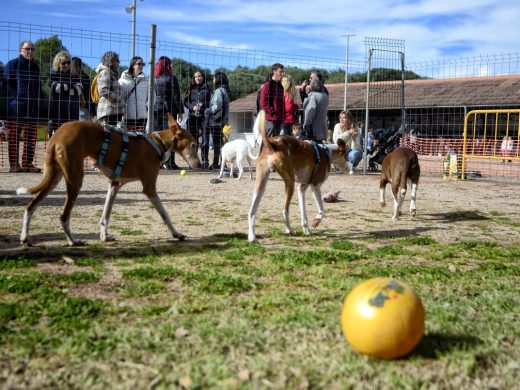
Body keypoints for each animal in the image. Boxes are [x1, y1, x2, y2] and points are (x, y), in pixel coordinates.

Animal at [16, 113, 201, 247]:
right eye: (193, 145)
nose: (200, 165)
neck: (158, 142)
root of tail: (57, 136)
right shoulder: (149, 188)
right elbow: (165, 214)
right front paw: (176, 233)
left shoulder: (114, 184)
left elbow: (105, 215)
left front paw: (104, 236)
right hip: (75, 180)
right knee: (63, 216)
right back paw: (73, 241)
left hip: (54, 178)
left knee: (30, 206)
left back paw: (25, 238)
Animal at [247, 111, 346, 242]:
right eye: (347, 155)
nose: (349, 166)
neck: (326, 152)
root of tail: (273, 143)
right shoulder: (315, 186)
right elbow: (322, 210)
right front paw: (316, 222)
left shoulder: (301, 188)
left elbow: (303, 213)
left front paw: (306, 230)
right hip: (290, 183)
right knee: (285, 211)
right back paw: (289, 230)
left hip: (261, 185)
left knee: (251, 211)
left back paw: (252, 236)